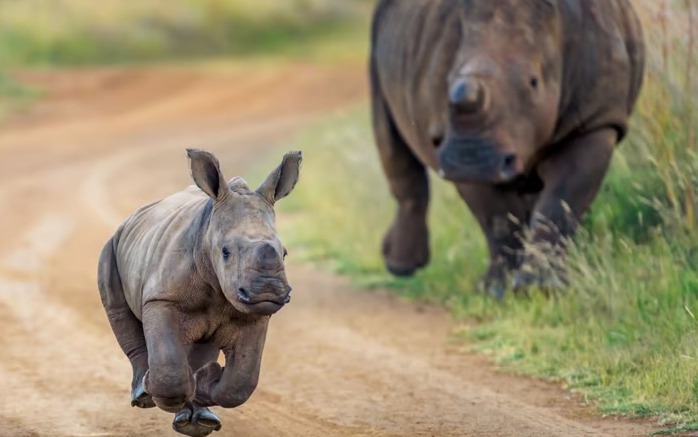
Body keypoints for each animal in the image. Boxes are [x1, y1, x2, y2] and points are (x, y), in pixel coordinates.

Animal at [98, 149, 301, 436]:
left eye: (284, 254)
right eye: (225, 252)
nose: (268, 291)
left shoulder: (255, 313)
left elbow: (241, 382)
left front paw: (206, 382)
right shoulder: (162, 298)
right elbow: (170, 366)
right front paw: (163, 389)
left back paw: (200, 418)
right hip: (113, 245)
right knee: (118, 311)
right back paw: (144, 394)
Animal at [369, 0, 645, 295]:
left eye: (534, 82)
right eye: (447, 82)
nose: (472, 160)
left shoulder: (596, 118)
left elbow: (561, 202)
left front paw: (542, 288)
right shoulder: (460, 149)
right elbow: (497, 217)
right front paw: (498, 290)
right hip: (379, 48)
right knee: (390, 140)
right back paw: (400, 267)